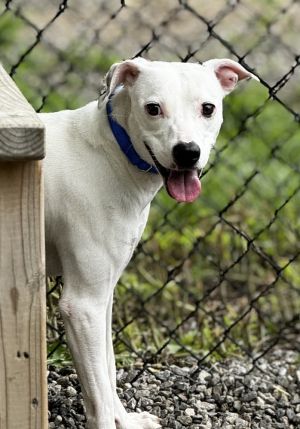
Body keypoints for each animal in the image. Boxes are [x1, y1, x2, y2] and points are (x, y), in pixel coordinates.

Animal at [40, 57, 258, 428]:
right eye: (153, 108)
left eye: (208, 108)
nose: (187, 152)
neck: (111, 153)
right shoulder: (82, 305)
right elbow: (98, 396)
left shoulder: (103, 298)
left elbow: (108, 369)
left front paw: (126, 422)